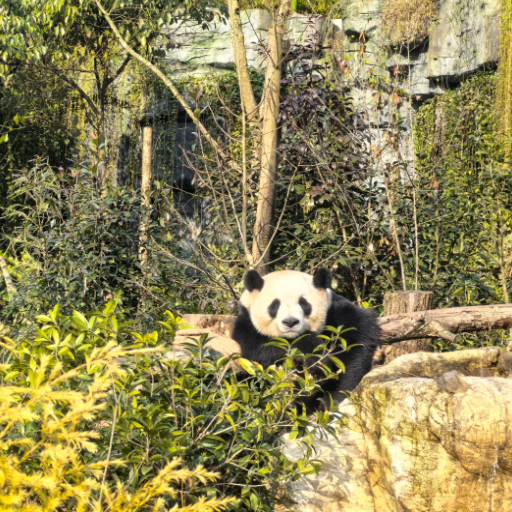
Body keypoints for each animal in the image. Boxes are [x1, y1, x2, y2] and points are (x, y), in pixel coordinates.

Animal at [232, 268, 380, 408]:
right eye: (275, 304)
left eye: (303, 303)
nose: (290, 322)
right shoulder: (246, 324)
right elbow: (257, 351)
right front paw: (314, 355)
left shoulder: (336, 312)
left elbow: (357, 344)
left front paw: (332, 400)